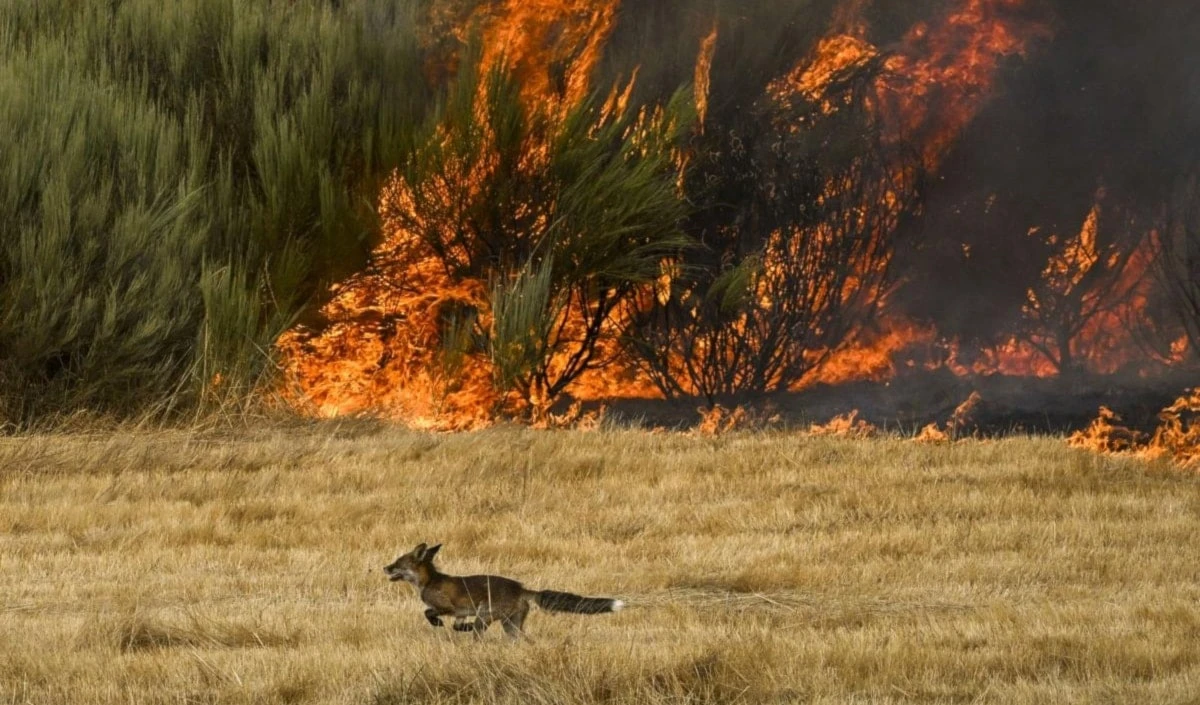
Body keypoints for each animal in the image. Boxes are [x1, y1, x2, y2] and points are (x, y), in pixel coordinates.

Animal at [383, 543, 624, 639]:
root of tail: (521, 588)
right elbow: (457, 626)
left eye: (397, 563)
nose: (384, 567)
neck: (429, 581)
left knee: (480, 634)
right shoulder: (461, 614)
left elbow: (428, 612)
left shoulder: (446, 607)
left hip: (486, 616)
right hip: (511, 626)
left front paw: (437, 623)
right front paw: (462, 629)